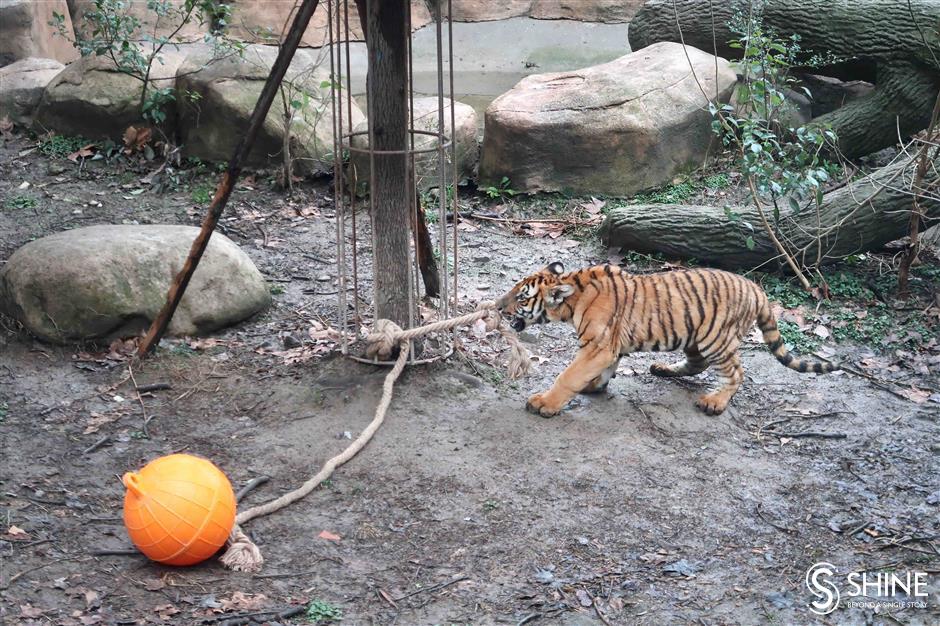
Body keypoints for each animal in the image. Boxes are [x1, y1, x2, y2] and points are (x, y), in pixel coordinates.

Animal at [496, 260, 840, 416]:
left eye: (521, 297)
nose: (498, 306)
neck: (572, 297)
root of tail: (757, 289)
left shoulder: (598, 347)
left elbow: (567, 376)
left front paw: (544, 403)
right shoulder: (609, 348)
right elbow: (602, 371)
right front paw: (595, 385)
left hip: (716, 339)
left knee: (736, 373)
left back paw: (714, 402)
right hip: (695, 336)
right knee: (697, 364)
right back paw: (662, 368)